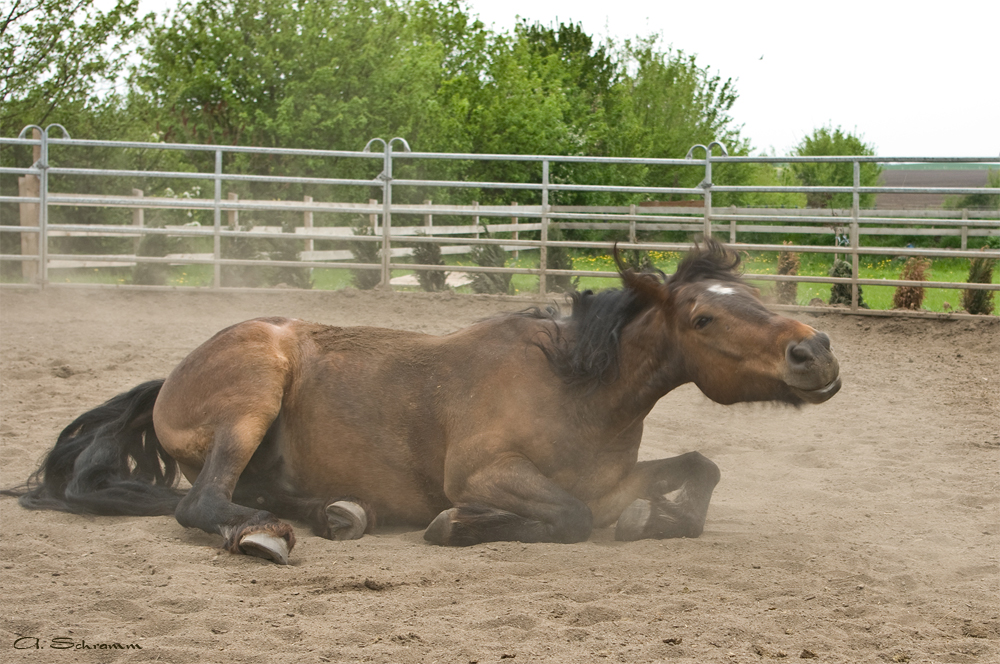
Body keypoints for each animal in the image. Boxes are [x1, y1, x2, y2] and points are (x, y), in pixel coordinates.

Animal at [3, 241, 840, 564]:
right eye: (702, 318)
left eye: (751, 293)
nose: (817, 351)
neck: (578, 391)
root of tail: (170, 378)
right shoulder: (485, 472)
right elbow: (566, 517)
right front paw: (460, 526)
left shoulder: (611, 477)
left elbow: (698, 470)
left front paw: (653, 517)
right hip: (251, 396)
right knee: (201, 504)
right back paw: (268, 535)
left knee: (258, 492)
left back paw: (336, 513)